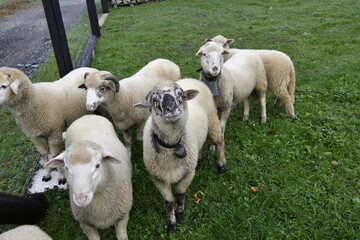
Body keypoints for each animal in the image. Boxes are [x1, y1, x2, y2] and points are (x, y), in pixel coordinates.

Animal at [134, 78, 226, 232]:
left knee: (219, 142)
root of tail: (191, 79)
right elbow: (169, 202)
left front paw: (180, 214)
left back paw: (222, 165)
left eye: (180, 94)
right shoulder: (158, 178)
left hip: (213, 121)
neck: (172, 147)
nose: (171, 109)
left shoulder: (188, 174)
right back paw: (200, 158)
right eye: (154, 99)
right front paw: (172, 224)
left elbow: (180, 194)